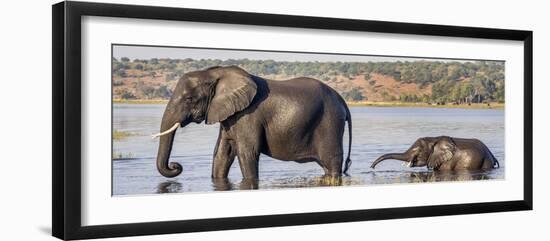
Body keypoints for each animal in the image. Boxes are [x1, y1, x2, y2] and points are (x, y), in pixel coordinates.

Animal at [153, 66, 356, 179]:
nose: (176, 166)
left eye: (189, 99)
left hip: (330, 122)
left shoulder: (248, 116)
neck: (216, 73)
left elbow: (247, 152)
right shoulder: (230, 115)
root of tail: (342, 100)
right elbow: (222, 153)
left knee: (332, 163)